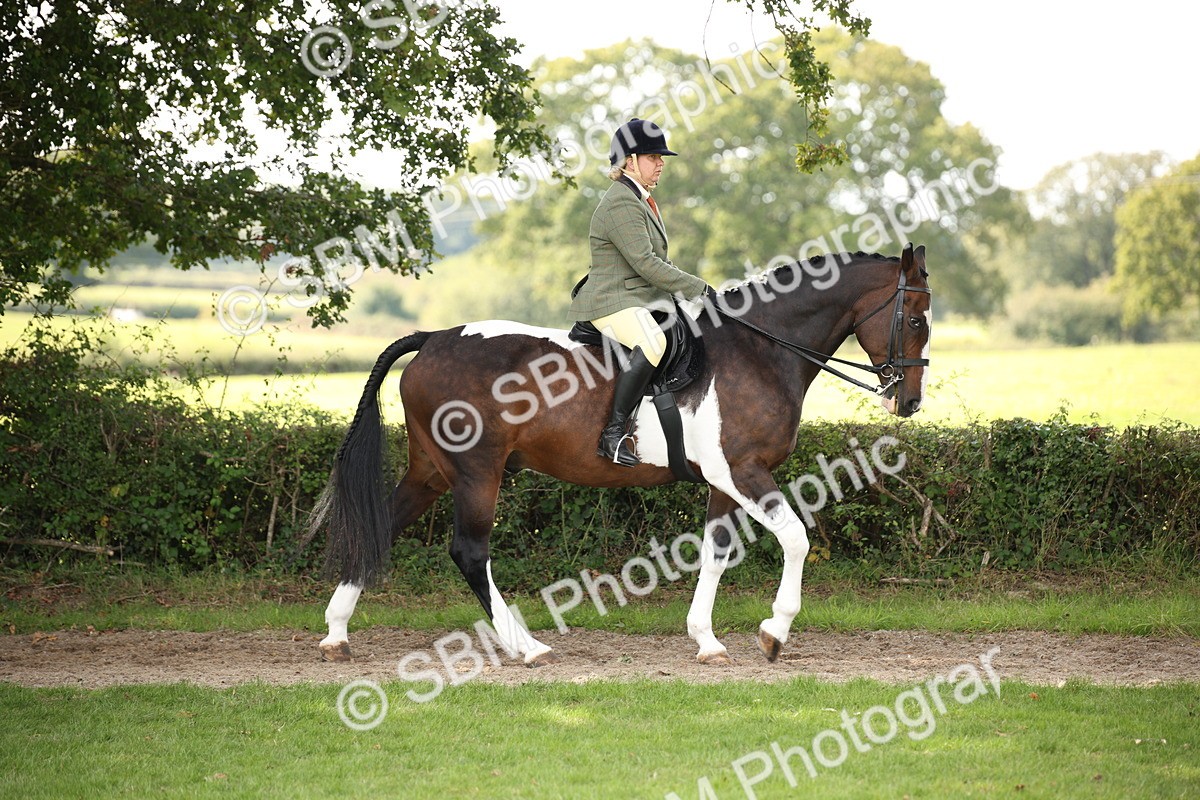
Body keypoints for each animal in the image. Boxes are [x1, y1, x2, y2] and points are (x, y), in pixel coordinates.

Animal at [310, 243, 932, 667]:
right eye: (915, 319)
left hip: (432, 471)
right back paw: (527, 646)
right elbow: (796, 539)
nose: (909, 401)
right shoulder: (742, 470)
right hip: (477, 473)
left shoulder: (723, 481)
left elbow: (716, 552)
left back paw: (337, 632)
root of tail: (434, 338)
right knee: (469, 551)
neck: (761, 349)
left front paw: (706, 640)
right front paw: (775, 632)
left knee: (384, 524)